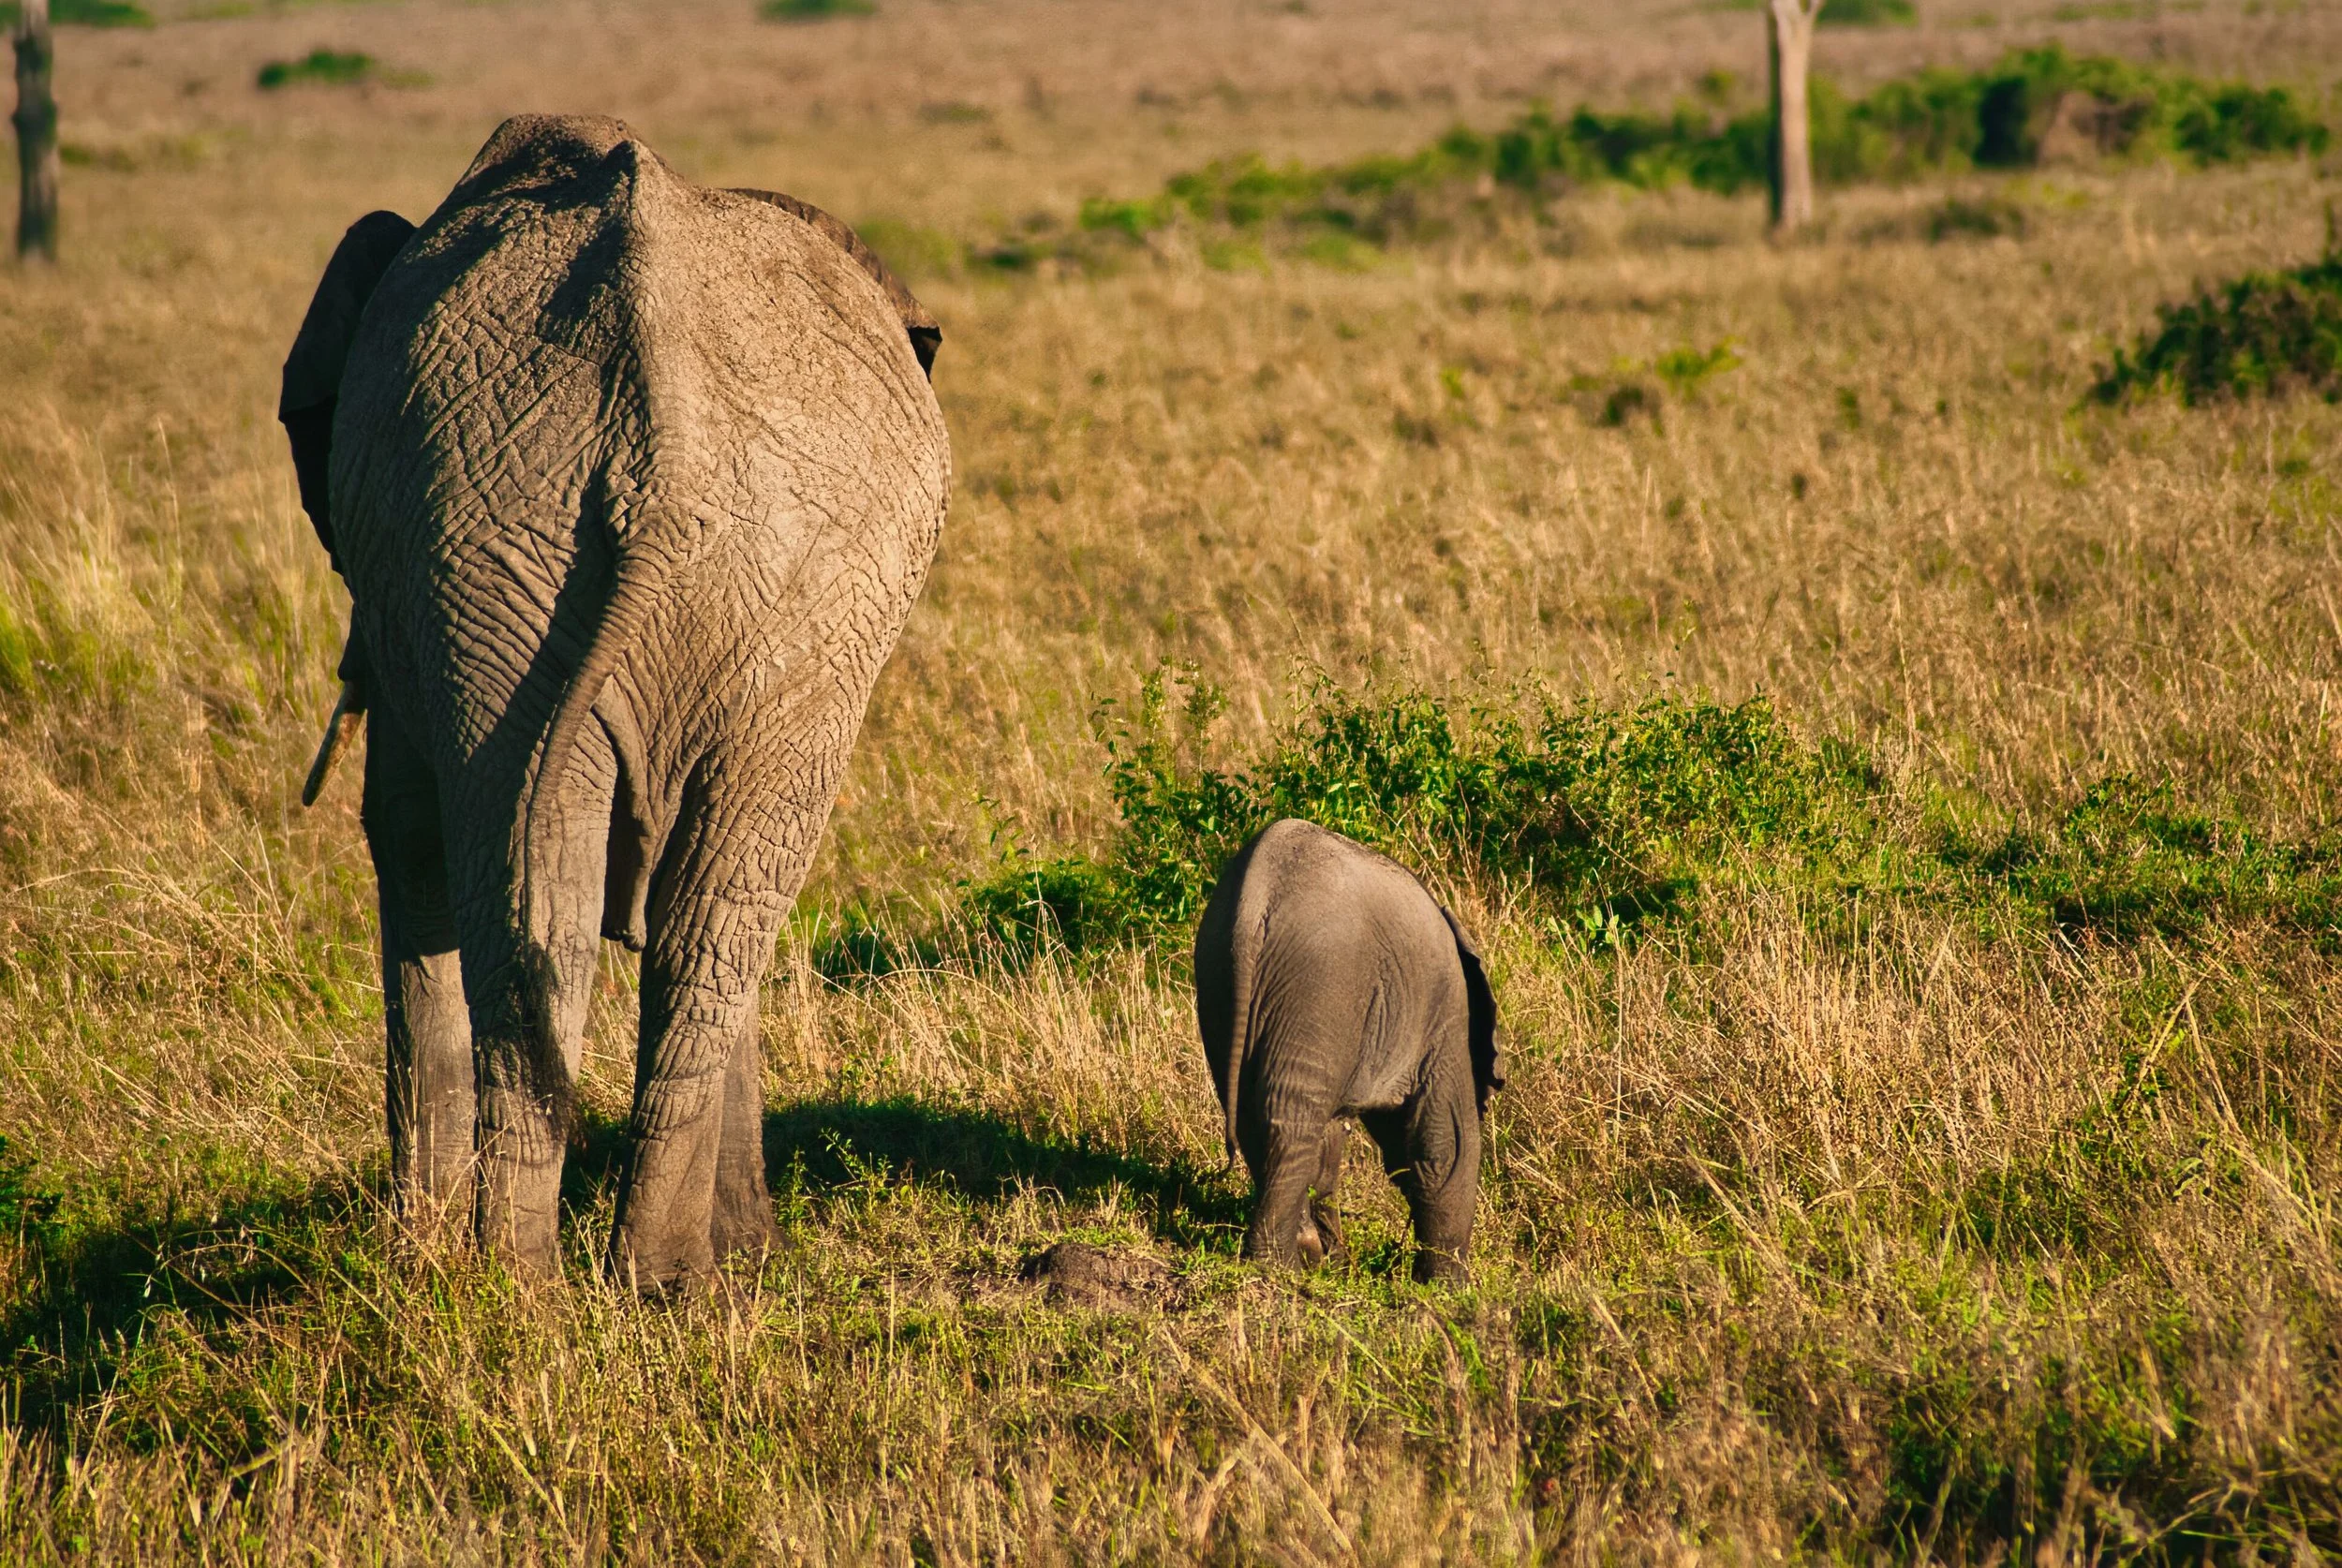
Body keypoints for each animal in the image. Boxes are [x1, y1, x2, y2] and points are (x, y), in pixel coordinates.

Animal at [277, 114, 951, 1288]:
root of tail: (660, 448)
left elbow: (401, 833)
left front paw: (416, 1259)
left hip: (508, 553)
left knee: (560, 915)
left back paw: (538, 1286)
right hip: (712, 580)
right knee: (687, 922)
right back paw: (654, 1282)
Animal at [1193, 819, 1503, 1284]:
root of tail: (1256, 897)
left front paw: (1332, 1260)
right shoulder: (1447, 1020)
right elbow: (1444, 1147)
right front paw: (1450, 1288)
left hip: (1220, 973)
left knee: (1256, 1117)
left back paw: (1298, 1256)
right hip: (1322, 981)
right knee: (1291, 1119)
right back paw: (1278, 1268)